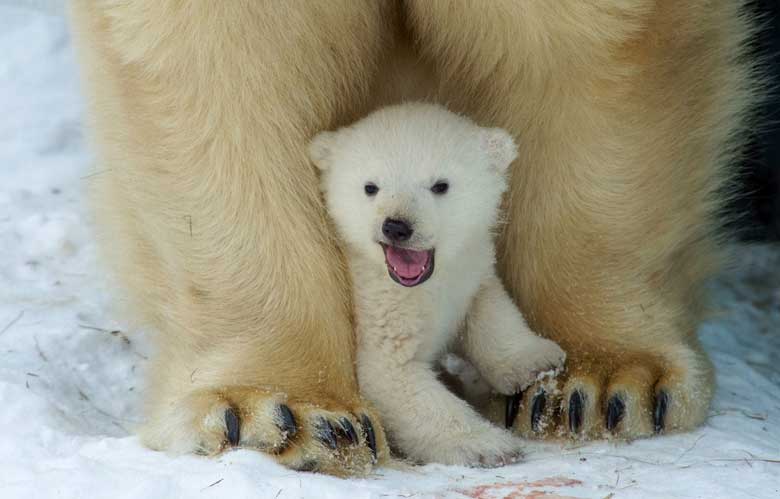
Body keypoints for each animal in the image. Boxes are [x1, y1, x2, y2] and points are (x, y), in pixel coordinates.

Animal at [68, 0, 756, 476]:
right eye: (370, 188)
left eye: (442, 185)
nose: (397, 225)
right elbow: (213, 63)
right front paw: (284, 414)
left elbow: (599, 47)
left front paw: (599, 385)